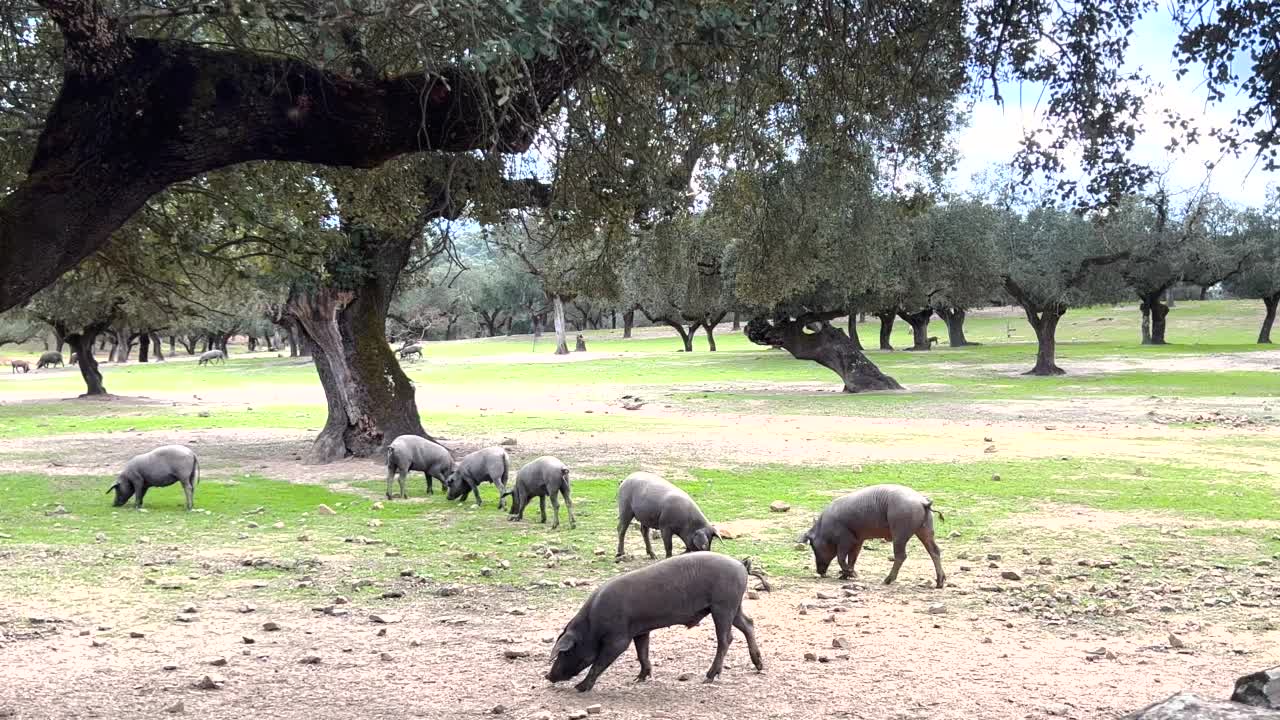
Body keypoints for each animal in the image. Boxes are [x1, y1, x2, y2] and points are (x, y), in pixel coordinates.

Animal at [545, 548, 762, 691]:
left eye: (563, 653)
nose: (548, 676)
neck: (591, 627)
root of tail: (741, 564)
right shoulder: (640, 631)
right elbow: (642, 652)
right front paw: (638, 679)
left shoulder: (618, 639)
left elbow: (599, 663)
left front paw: (580, 688)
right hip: (733, 605)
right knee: (748, 624)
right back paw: (759, 665)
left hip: (723, 605)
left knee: (726, 638)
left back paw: (708, 678)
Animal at [793, 481, 947, 589]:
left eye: (813, 546)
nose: (820, 572)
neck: (824, 528)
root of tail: (924, 502)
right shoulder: (858, 540)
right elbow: (853, 558)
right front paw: (845, 576)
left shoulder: (845, 540)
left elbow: (841, 558)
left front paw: (851, 574)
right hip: (925, 531)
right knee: (935, 551)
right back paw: (940, 583)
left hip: (900, 533)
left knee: (901, 556)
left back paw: (887, 580)